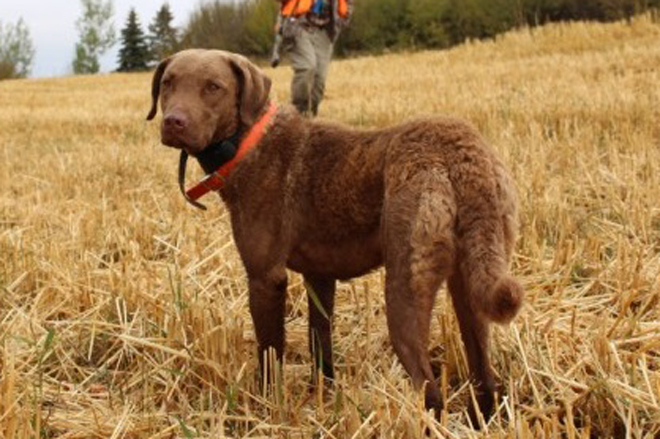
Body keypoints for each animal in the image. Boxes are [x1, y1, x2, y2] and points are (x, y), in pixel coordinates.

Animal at [147, 49, 524, 426]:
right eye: (168, 83)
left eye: (214, 87)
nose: (173, 122)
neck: (247, 142)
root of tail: (462, 154)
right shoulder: (320, 276)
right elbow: (320, 343)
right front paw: (323, 397)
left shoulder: (265, 277)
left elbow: (270, 352)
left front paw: (267, 407)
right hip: (471, 285)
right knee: (486, 378)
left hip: (405, 288)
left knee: (431, 392)